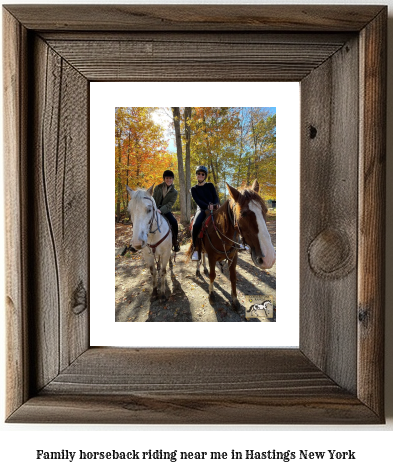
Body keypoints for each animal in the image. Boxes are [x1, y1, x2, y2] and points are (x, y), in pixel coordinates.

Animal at [187, 180, 276, 310]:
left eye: (265, 210)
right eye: (243, 214)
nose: (268, 259)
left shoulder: (233, 257)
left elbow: (233, 277)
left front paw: (234, 300)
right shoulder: (212, 257)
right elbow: (213, 276)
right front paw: (211, 295)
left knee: (202, 254)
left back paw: (204, 268)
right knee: (198, 255)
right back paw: (198, 269)